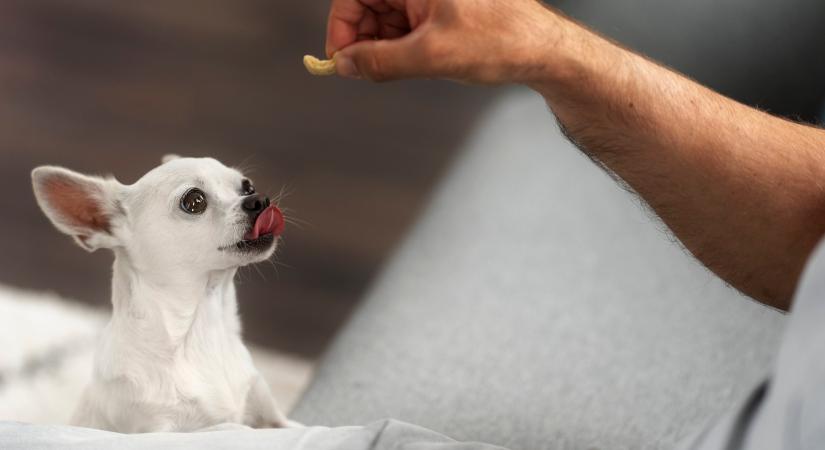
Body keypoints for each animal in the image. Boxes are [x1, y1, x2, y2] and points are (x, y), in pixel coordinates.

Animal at [32, 156, 296, 432]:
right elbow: (227, 427)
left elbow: (298, 426)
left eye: (247, 187)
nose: (260, 199)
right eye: (194, 201)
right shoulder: (159, 429)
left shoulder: (275, 417)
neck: (203, 330)